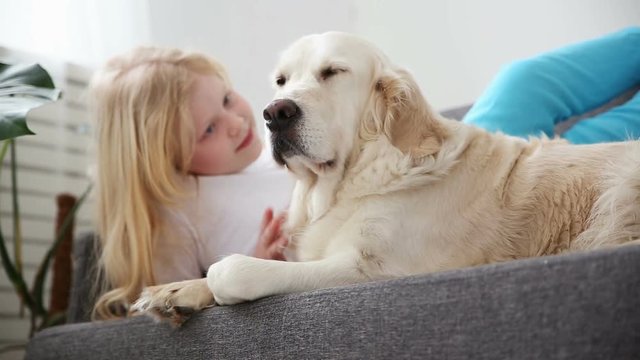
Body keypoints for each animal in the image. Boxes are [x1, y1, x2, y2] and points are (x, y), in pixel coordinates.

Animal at [134, 31, 640, 324]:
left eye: (333, 72)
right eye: (281, 80)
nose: (275, 113)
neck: (349, 180)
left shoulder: (374, 270)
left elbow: (235, 270)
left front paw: (213, 280)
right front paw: (173, 291)